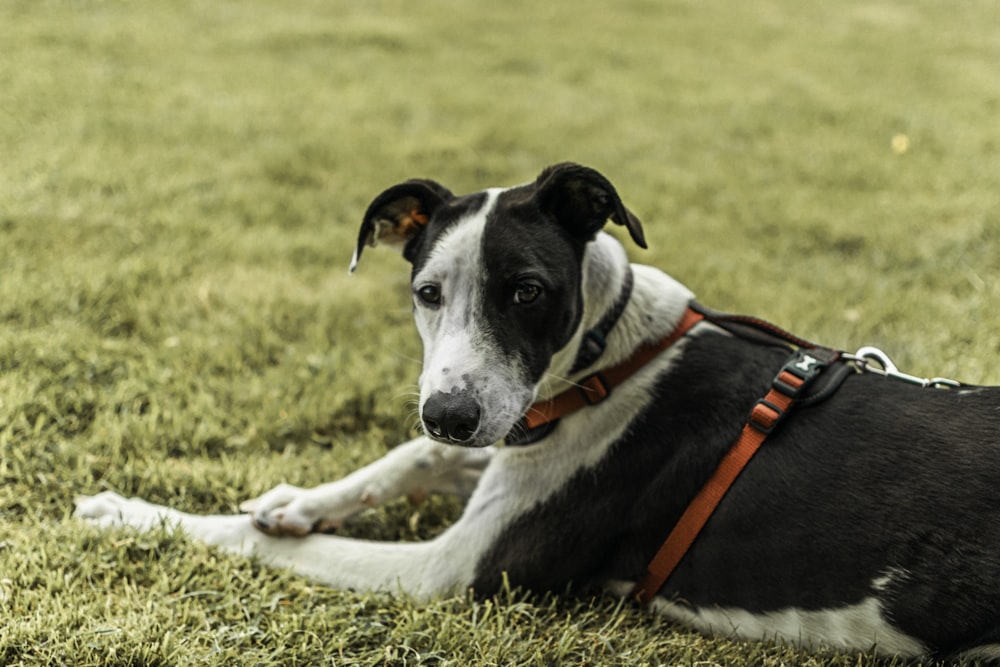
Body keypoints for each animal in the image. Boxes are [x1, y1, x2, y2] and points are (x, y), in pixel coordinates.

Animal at [76, 164, 1000, 660]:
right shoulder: (510, 437)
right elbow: (411, 457)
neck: (610, 358)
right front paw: (296, 501)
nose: (448, 411)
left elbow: (257, 543)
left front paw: (126, 511)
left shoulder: (452, 568)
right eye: (427, 292)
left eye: (526, 291)